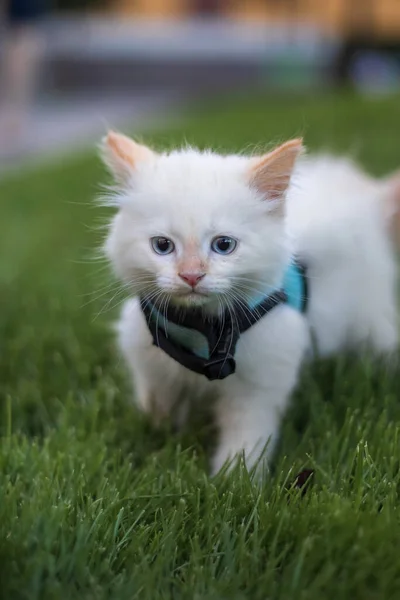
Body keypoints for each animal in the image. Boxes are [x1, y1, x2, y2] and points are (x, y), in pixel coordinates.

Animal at [100, 134, 400, 476]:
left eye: (223, 245)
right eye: (162, 246)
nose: (191, 275)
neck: (202, 327)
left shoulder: (260, 382)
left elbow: (245, 440)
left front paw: (231, 480)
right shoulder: (151, 365)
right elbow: (158, 411)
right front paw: (155, 447)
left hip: (372, 318)